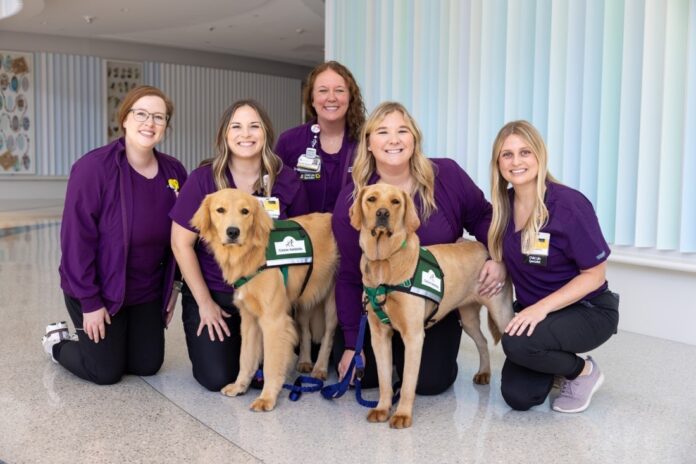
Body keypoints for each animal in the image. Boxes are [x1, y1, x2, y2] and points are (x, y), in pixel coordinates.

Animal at [192, 187, 338, 412]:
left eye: (245, 211)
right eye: (220, 210)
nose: (233, 232)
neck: (252, 254)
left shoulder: (273, 321)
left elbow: (270, 363)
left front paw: (267, 397)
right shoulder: (249, 320)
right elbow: (245, 358)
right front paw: (239, 386)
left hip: (332, 300)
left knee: (329, 334)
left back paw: (320, 367)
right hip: (303, 298)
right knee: (305, 330)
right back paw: (305, 361)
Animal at [350, 184, 512, 428]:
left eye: (395, 201)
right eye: (371, 199)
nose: (382, 213)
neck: (384, 263)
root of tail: (486, 248)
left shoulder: (414, 336)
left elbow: (408, 382)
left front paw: (402, 414)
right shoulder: (379, 336)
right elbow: (384, 379)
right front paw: (382, 408)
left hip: (502, 314)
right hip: (468, 317)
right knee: (482, 341)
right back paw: (484, 372)